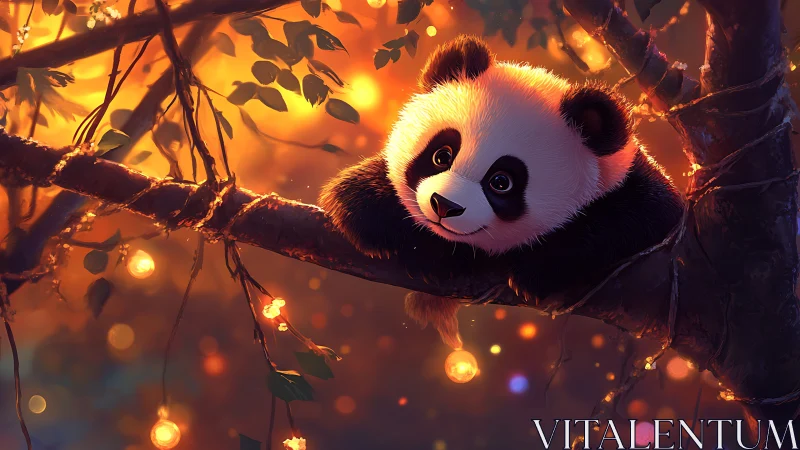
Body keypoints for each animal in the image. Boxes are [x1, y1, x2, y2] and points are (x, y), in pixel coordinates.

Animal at [319, 35, 683, 313]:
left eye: (501, 182)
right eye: (441, 155)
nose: (444, 206)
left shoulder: (636, 192)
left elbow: (625, 221)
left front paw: (534, 271)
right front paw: (374, 216)